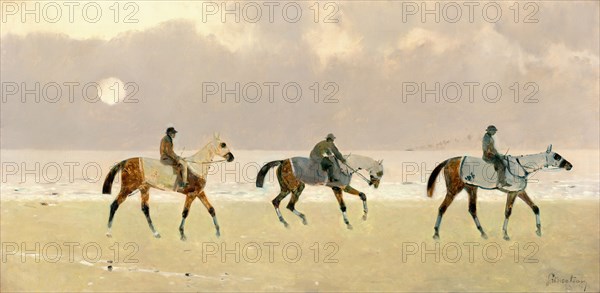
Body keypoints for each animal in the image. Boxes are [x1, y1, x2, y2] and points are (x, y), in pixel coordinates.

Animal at [103, 133, 234, 238]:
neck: (196, 166)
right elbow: (185, 212)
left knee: (145, 209)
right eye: (223, 144)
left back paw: (155, 233)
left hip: (144, 189)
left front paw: (218, 232)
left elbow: (211, 209)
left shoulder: (200, 192)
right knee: (114, 205)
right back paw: (108, 232)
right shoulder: (191, 194)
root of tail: (125, 161)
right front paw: (182, 234)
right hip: (127, 188)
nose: (231, 157)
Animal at [426, 144, 572, 240]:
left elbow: (535, 208)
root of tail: (449, 160)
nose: (570, 165)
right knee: (442, 208)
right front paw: (505, 234)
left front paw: (539, 230)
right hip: (453, 190)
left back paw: (483, 233)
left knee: (472, 209)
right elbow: (508, 212)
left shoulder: (519, 192)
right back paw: (436, 233)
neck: (521, 167)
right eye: (557, 156)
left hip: (471, 188)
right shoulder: (512, 193)